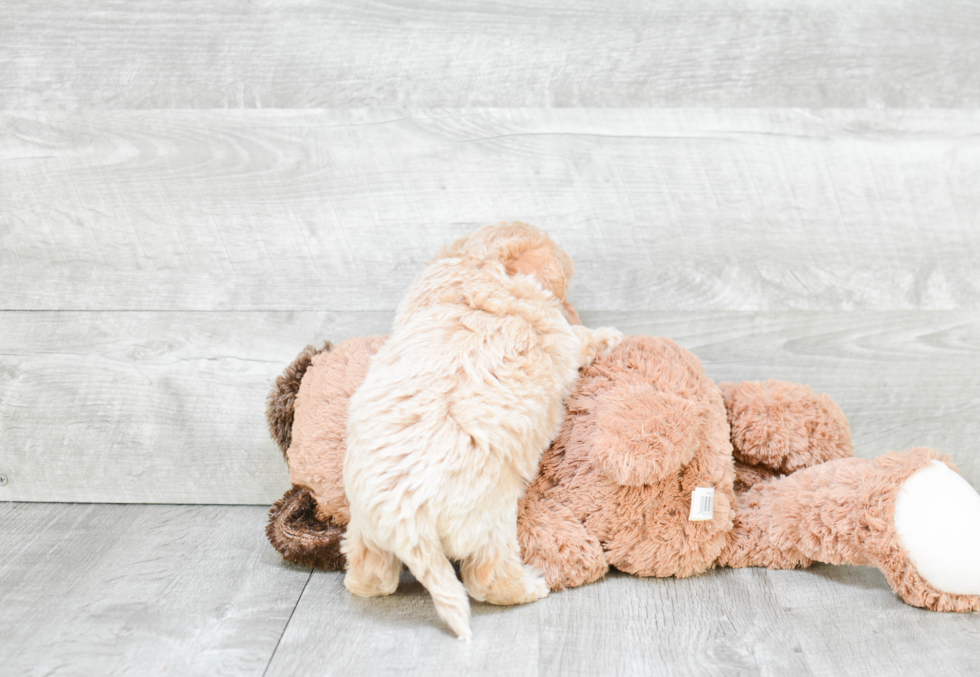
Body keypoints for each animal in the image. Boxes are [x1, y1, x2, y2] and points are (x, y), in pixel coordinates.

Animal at [342, 223, 620, 640]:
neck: (476, 268)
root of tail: (407, 521)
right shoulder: (561, 337)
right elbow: (583, 339)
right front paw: (610, 335)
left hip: (364, 529)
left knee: (372, 572)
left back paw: (360, 582)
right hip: (490, 525)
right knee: (487, 579)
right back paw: (531, 586)